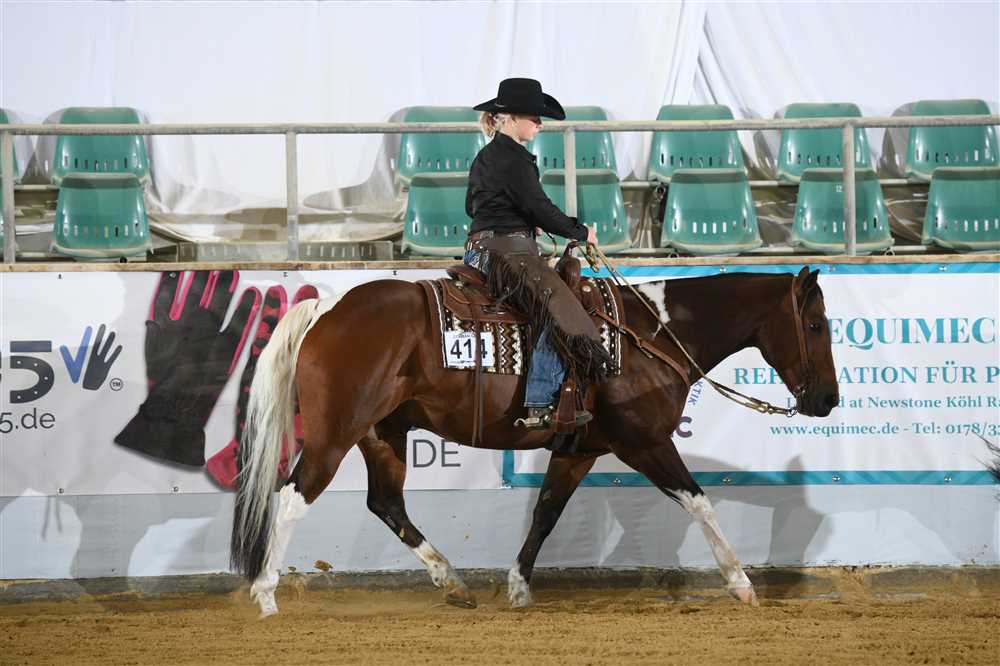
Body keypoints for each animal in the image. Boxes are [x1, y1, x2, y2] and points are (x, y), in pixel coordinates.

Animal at [231, 265, 839, 617]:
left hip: (385, 434)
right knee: (293, 496)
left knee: (386, 503)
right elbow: (700, 501)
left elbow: (546, 512)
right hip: (336, 434)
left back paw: (453, 582)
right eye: (816, 326)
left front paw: (519, 586)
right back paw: (264, 592)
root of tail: (327, 308)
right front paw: (741, 583)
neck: (651, 336)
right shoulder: (646, 444)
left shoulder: (579, 451)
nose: (827, 400)